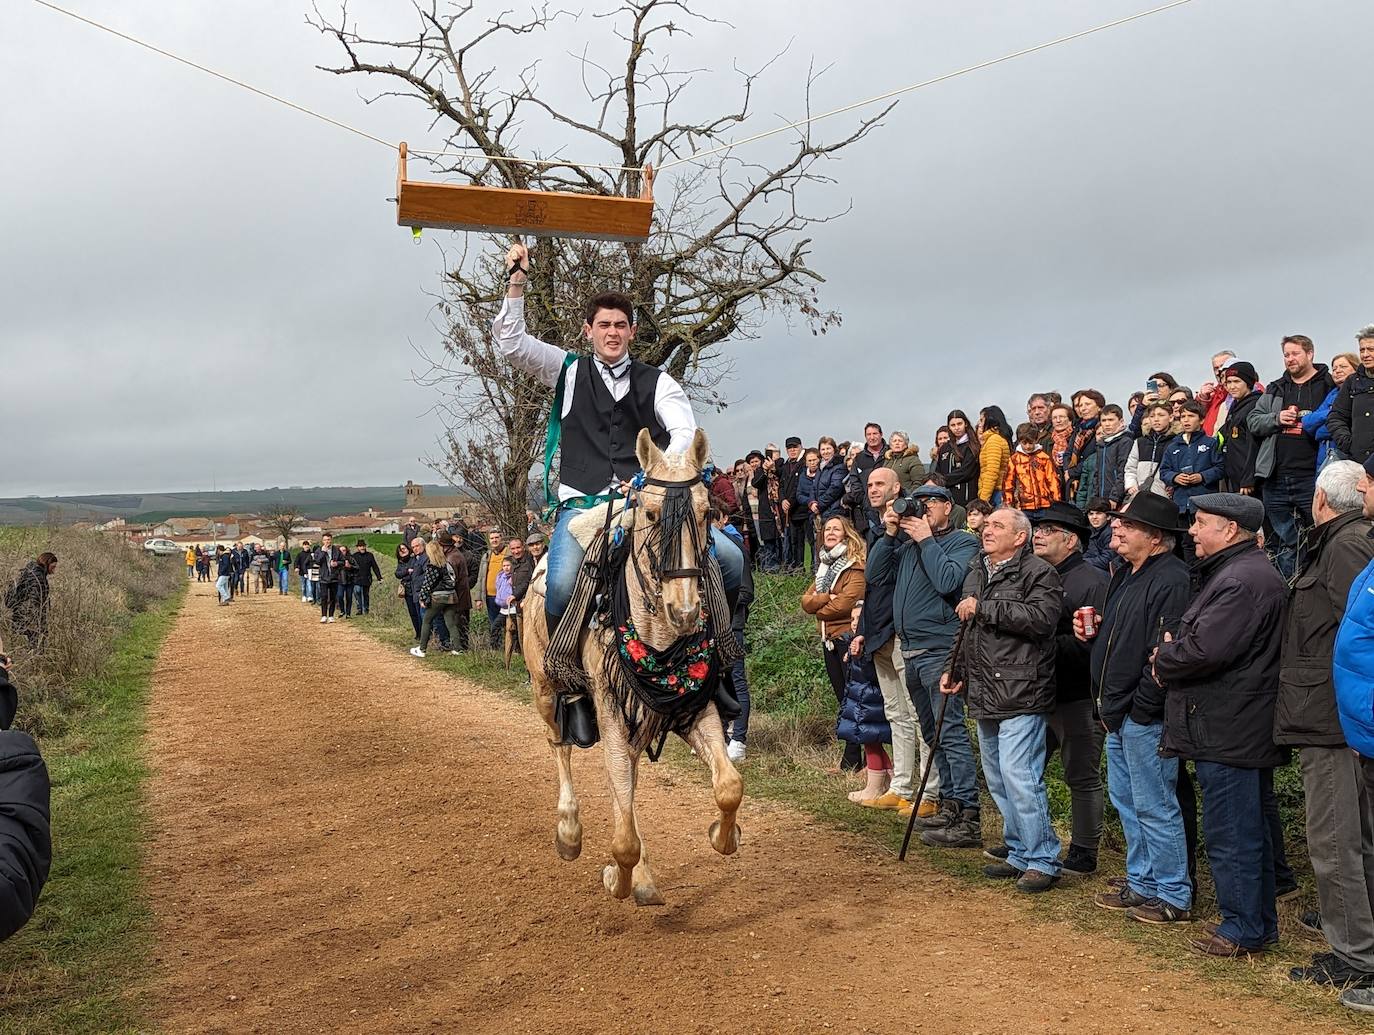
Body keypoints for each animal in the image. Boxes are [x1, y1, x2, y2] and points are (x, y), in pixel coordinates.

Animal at [522, 428, 741, 901]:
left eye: (706, 512)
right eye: (653, 514)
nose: (685, 611)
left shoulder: (693, 706)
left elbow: (729, 787)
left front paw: (724, 834)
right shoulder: (609, 709)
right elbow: (622, 837)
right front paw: (618, 878)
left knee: (629, 780)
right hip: (546, 690)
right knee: (560, 747)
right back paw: (569, 833)